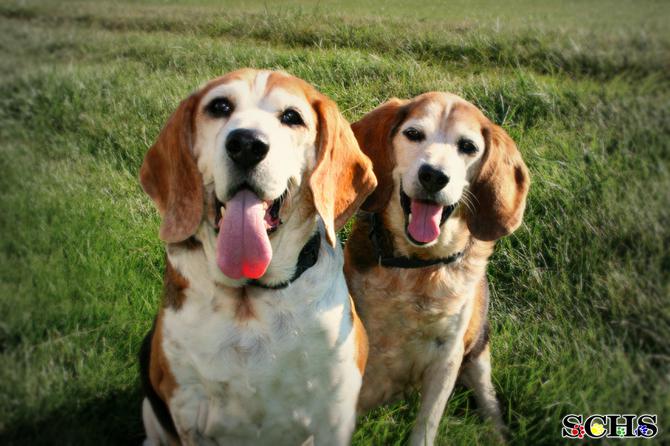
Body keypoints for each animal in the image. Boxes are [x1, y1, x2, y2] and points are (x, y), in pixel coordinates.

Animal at [140, 69, 378, 446]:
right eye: (219, 107)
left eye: (292, 117)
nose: (247, 144)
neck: (248, 295)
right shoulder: (188, 409)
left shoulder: (334, 414)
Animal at [346, 92, 532, 444]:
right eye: (414, 134)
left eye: (468, 147)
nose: (434, 175)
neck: (416, 266)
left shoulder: (447, 358)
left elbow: (426, 425)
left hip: (478, 351)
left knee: (488, 398)